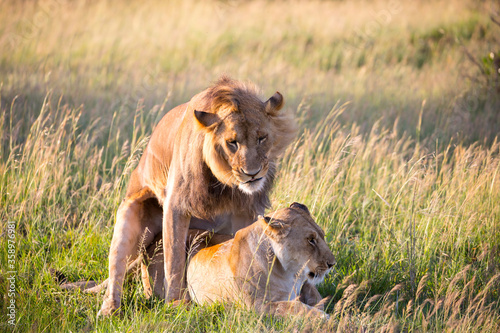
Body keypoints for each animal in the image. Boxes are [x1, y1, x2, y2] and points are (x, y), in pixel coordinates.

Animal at [99, 76, 298, 316]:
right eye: (232, 142)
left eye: (262, 138)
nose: (252, 173)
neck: (226, 183)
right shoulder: (176, 204)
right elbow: (174, 260)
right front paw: (175, 303)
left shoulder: (246, 211)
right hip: (131, 212)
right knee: (116, 269)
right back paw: (110, 310)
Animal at [141, 201, 336, 318]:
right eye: (310, 240)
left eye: (322, 235)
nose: (332, 264)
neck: (291, 275)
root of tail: (152, 243)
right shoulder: (256, 306)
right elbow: (292, 307)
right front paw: (324, 318)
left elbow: (317, 299)